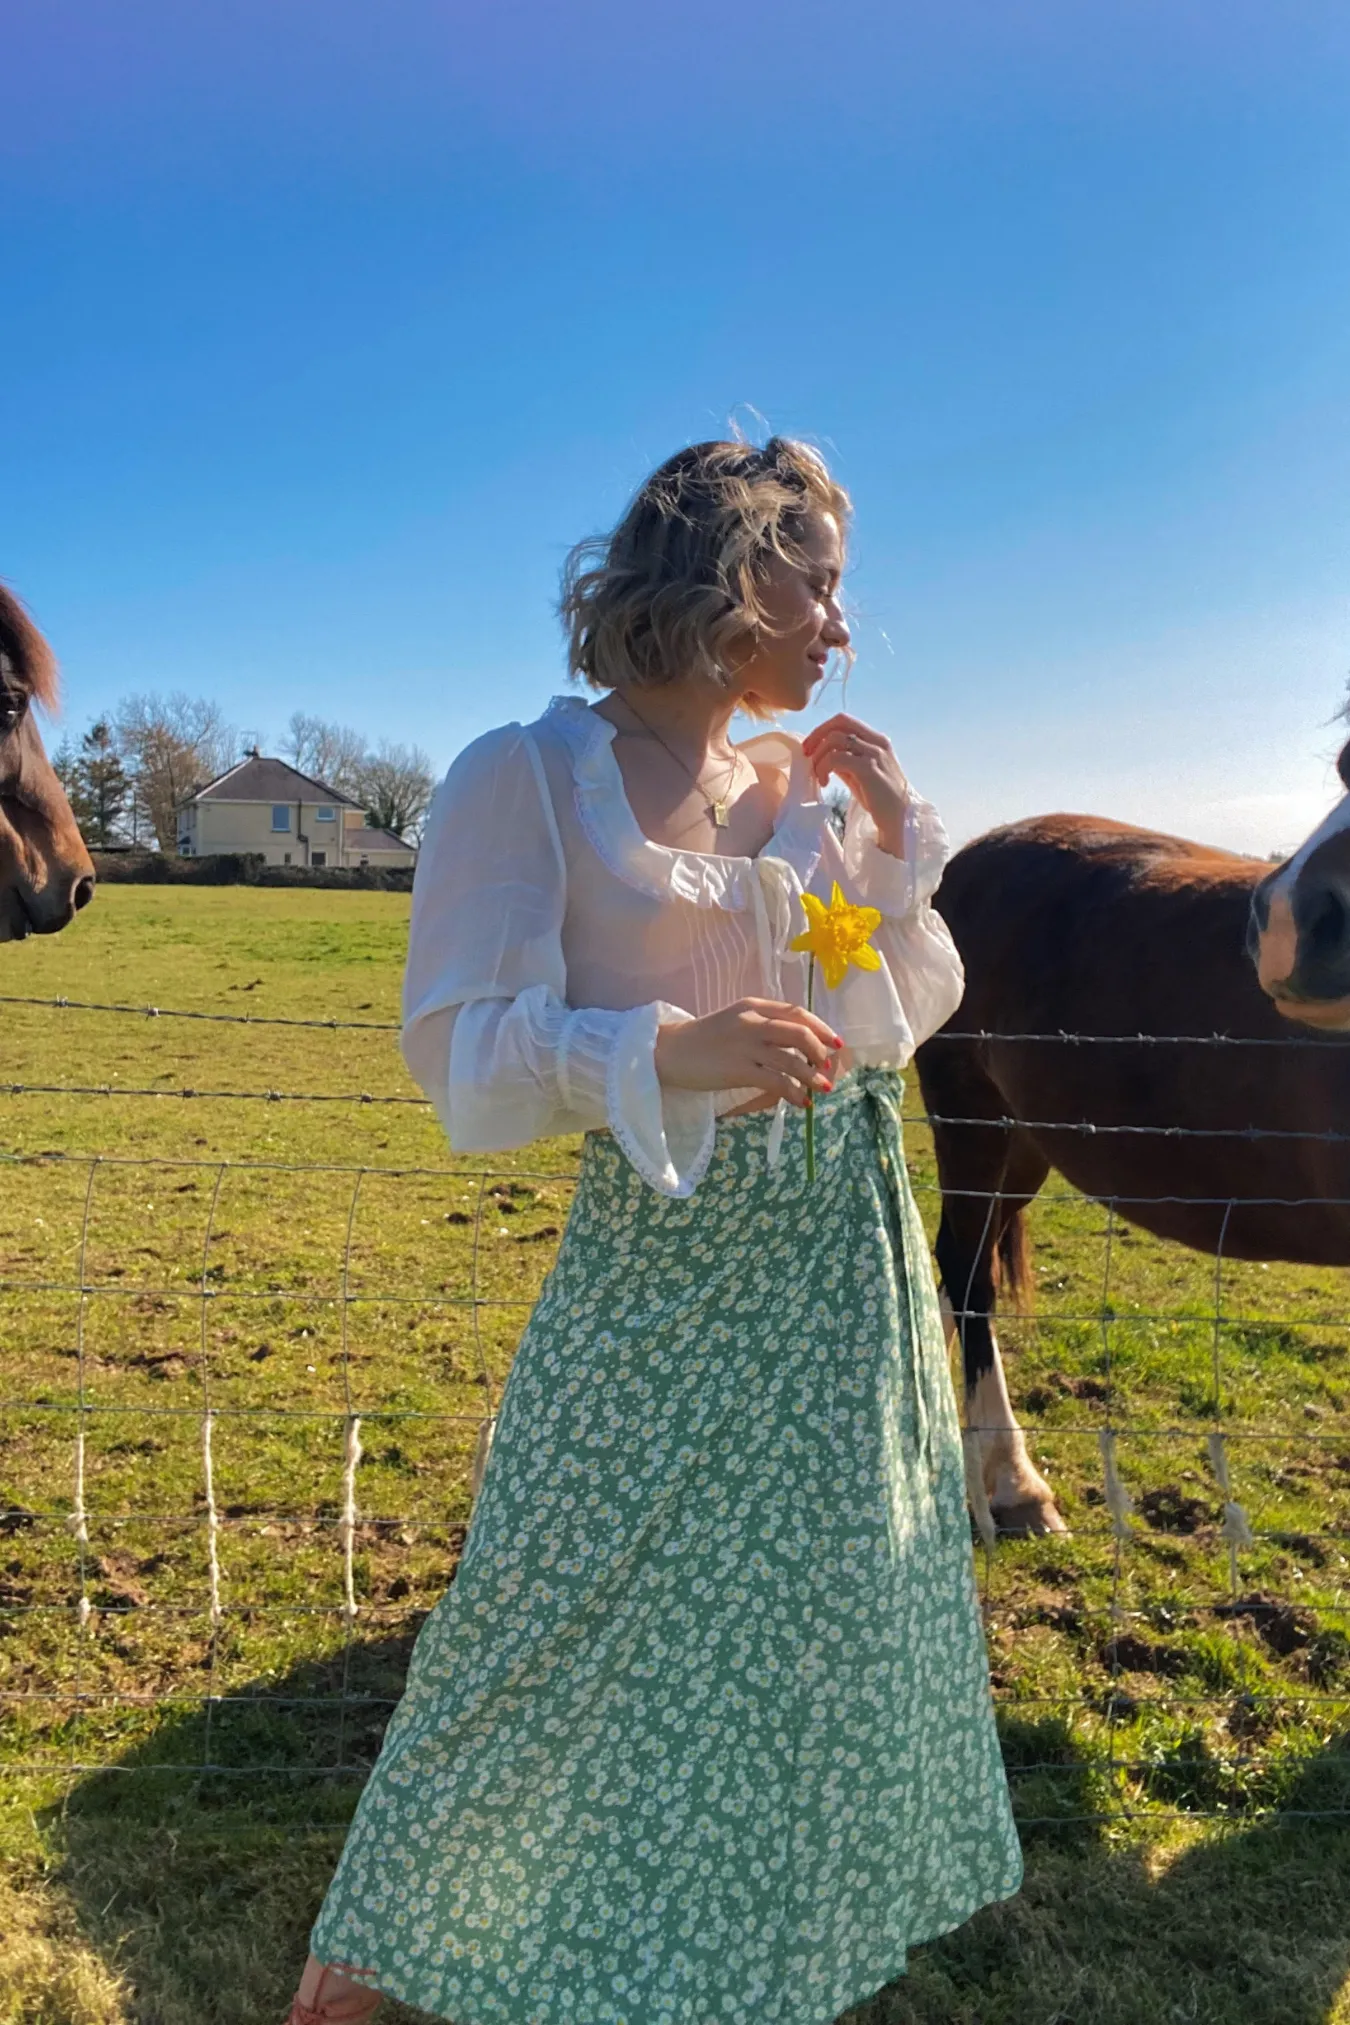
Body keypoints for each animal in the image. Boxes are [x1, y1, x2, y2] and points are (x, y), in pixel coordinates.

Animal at [918, 805, 1350, 1530]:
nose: (1292, 934)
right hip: (970, 1120)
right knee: (970, 1277)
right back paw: (1015, 1483)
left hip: (1023, 1148)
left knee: (956, 1266)